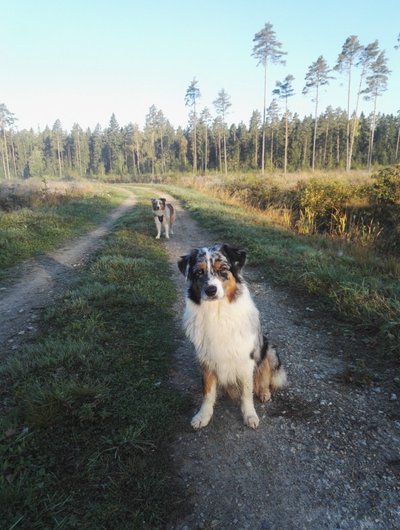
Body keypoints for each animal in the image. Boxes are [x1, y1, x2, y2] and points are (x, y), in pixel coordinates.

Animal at [178, 243, 288, 428]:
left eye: (223, 269)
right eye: (199, 272)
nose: (211, 290)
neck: (217, 312)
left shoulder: (246, 361)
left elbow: (247, 393)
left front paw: (250, 415)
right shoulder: (206, 360)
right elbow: (207, 392)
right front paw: (203, 416)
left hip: (269, 351)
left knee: (264, 379)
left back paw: (264, 393)